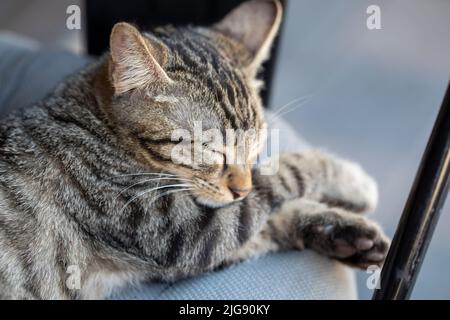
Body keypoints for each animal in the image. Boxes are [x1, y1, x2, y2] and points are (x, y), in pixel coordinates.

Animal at [0, 0, 386, 300]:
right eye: (210, 150)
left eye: (255, 145)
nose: (240, 188)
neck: (98, 126)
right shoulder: (181, 234)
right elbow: (284, 176)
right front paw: (351, 179)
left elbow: (272, 219)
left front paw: (346, 232)